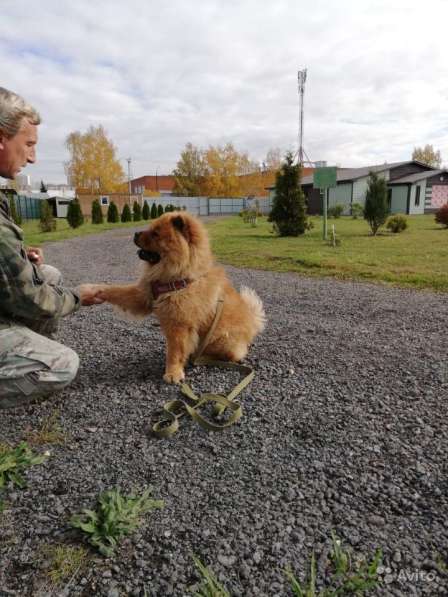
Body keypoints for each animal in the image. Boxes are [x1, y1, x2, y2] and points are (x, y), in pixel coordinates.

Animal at [81, 212, 266, 384]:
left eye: (156, 233)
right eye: (150, 228)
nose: (135, 233)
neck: (178, 279)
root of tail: (252, 322)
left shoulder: (179, 324)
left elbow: (174, 352)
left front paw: (172, 373)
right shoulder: (145, 296)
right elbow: (116, 290)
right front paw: (92, 290)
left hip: (223, 341)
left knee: (233, 353)